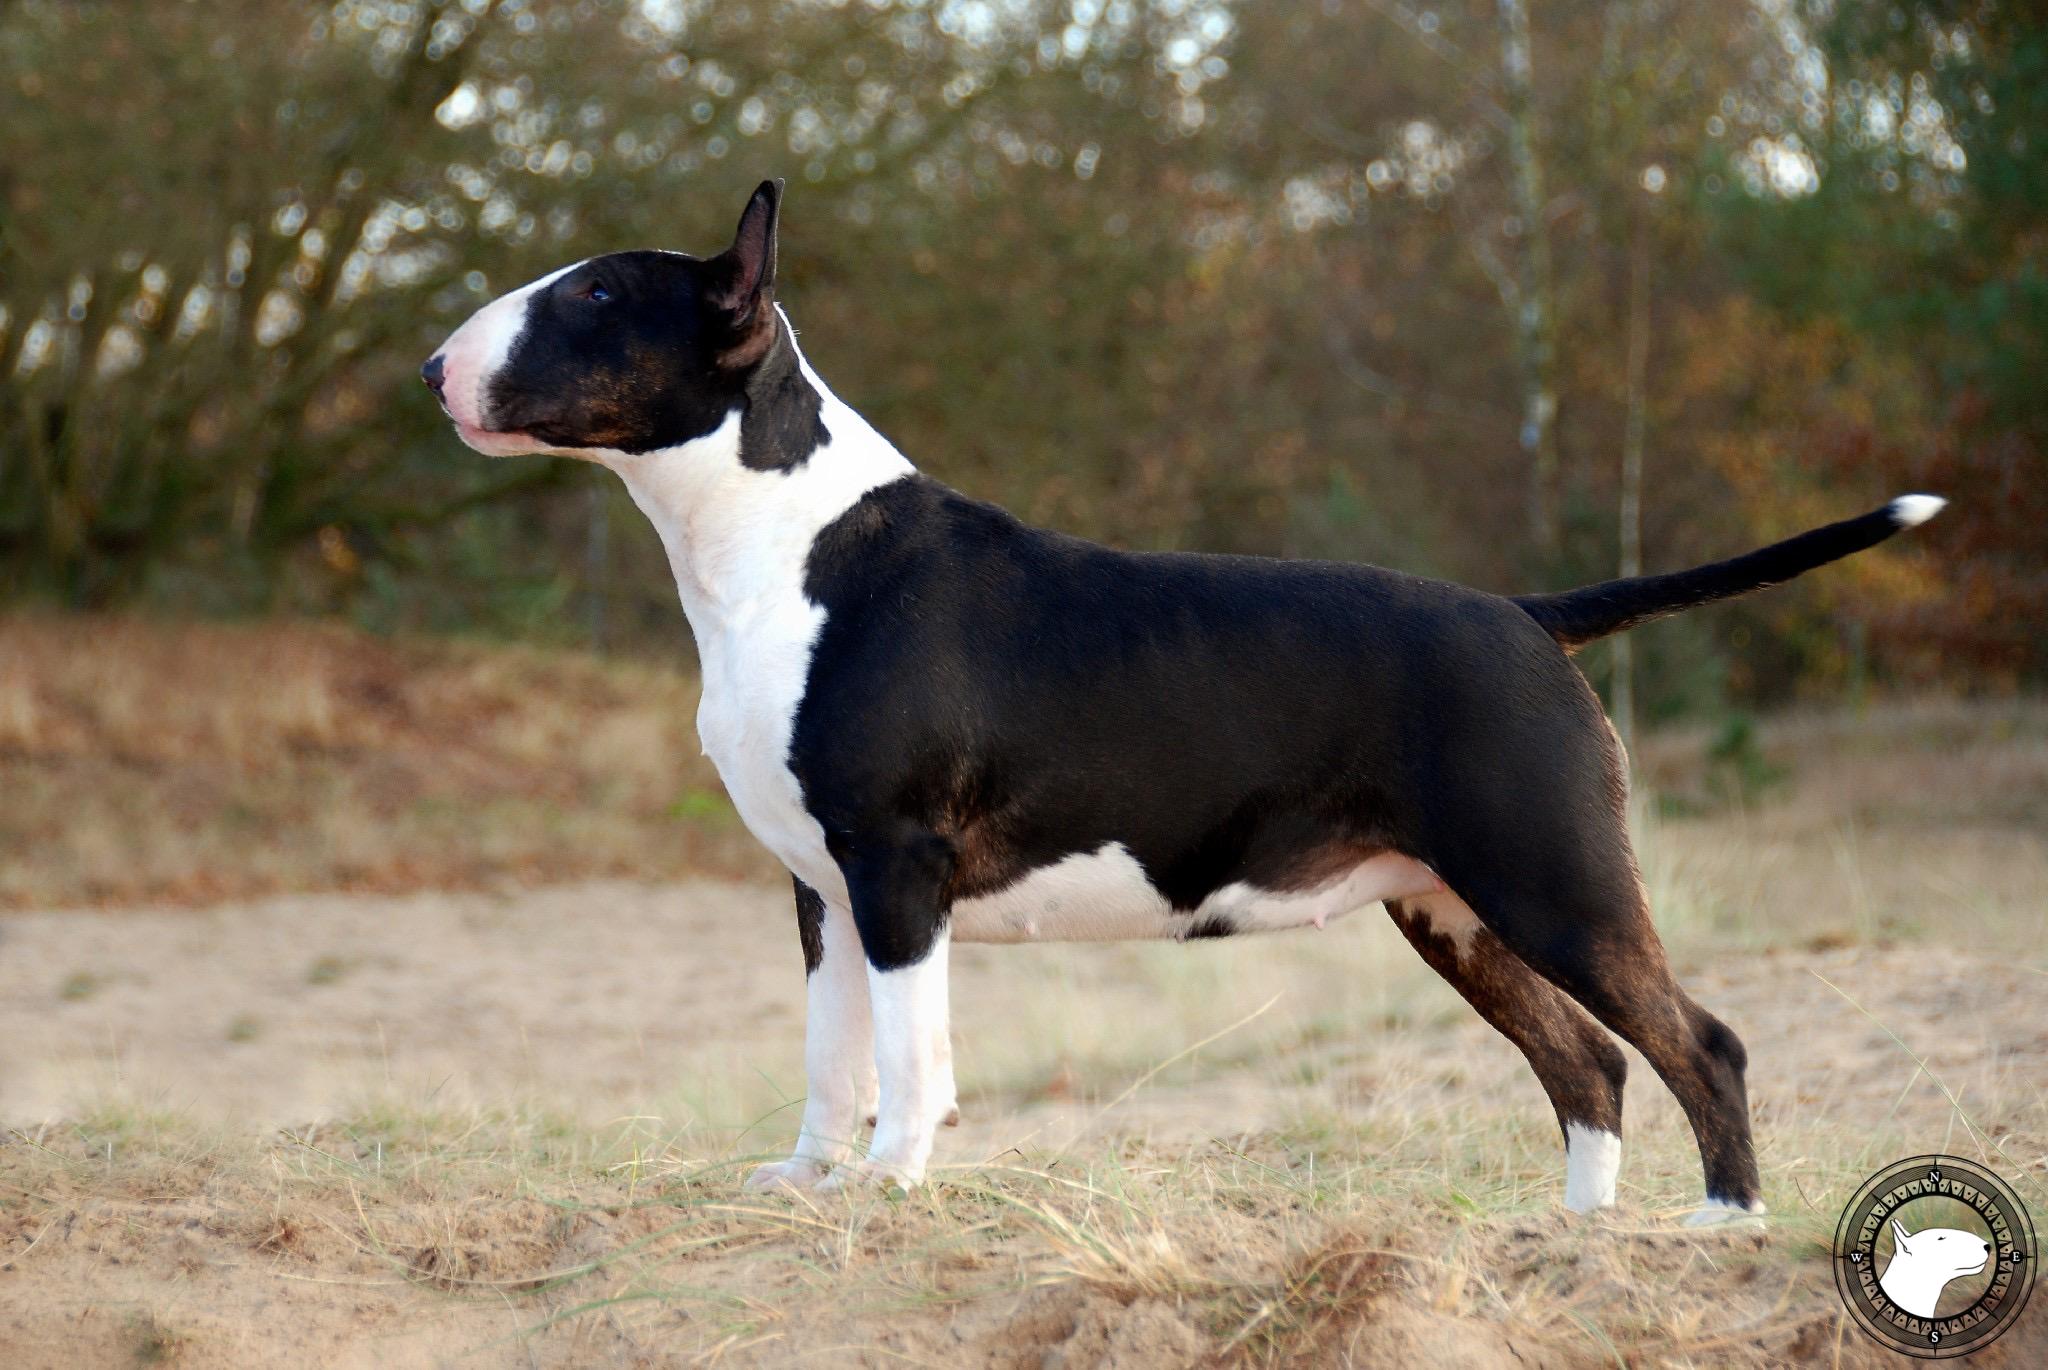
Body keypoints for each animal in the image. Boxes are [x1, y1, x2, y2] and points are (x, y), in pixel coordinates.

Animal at [423, 181, 1941, 1220]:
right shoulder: (820, 885)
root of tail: (1527, 611)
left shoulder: (898, 866)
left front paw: (892, 1185)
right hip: (1452, 909)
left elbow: (910, 1056)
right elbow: (829, 1051)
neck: (785, 540)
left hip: (1549, 875)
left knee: (1699, 1043)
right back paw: (1572, 1237)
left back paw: (1719, 1228)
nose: (435, 368)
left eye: (597, 298)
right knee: (1588, 1064)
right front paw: (804, 1179)